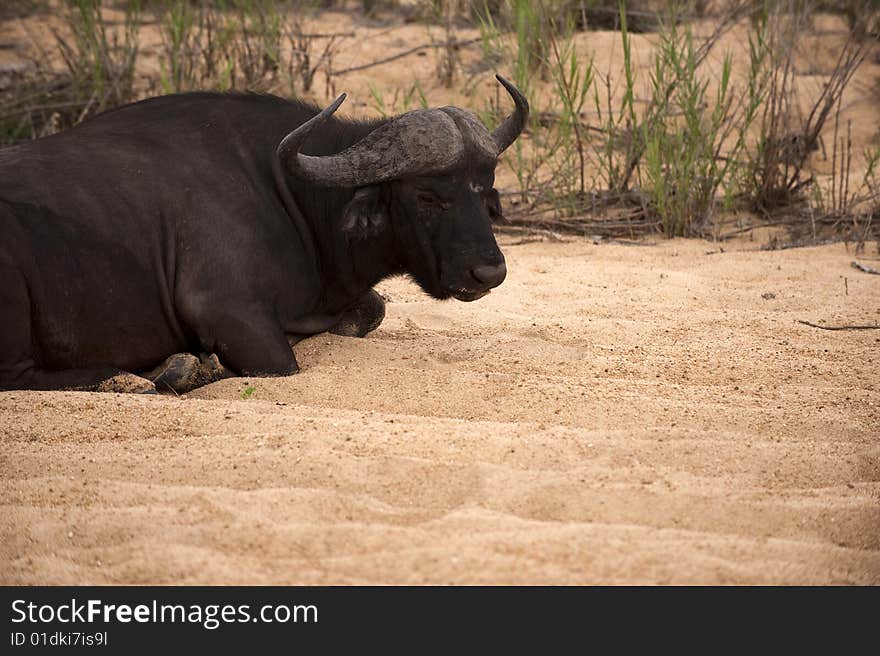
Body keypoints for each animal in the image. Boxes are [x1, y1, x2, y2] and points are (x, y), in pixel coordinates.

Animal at [0, 74, 524, 392]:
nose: (488, 273)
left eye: (485, 189)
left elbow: (371, 310)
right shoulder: (228, 310)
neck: (287, 195)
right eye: (428, 196)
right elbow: (282, 363)